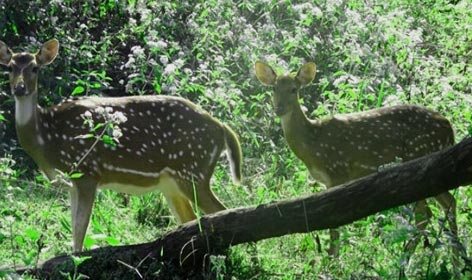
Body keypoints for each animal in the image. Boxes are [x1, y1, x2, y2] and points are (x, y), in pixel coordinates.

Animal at [0, 39, 243, 252]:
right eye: (10, 67)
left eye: (35, 68)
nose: (19, 88)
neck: (47, 140)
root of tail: (222, 127)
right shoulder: (71, 182)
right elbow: (74, 229)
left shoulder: (88, 171)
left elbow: (80, 230)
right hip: (172, 182)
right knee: (191, 219)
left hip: (193, 170)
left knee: (224, 211)